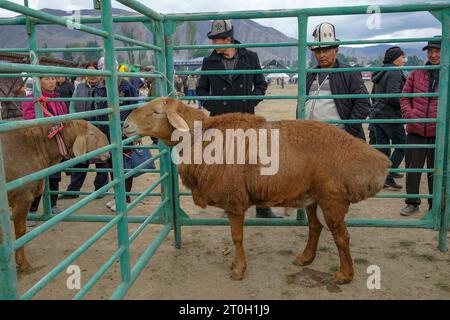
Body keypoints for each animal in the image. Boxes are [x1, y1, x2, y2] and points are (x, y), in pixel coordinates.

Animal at [1, 120, 110, 272]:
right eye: (91, 134)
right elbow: (20, 232)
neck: (37, 146)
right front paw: (23, 264)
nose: (108, 152)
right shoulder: (22, 197)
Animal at [122, 97, 390, 282]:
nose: (125, 125)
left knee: (341, 236)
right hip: (311, 197)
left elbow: (237, 237)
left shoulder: (234, 200)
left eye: (156, 111)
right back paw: (305, 258)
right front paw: (237, 266)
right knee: (315, 227)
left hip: (332, 198)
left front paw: (239, 270)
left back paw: (345, 275)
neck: (200, 139)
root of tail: (379, 161)